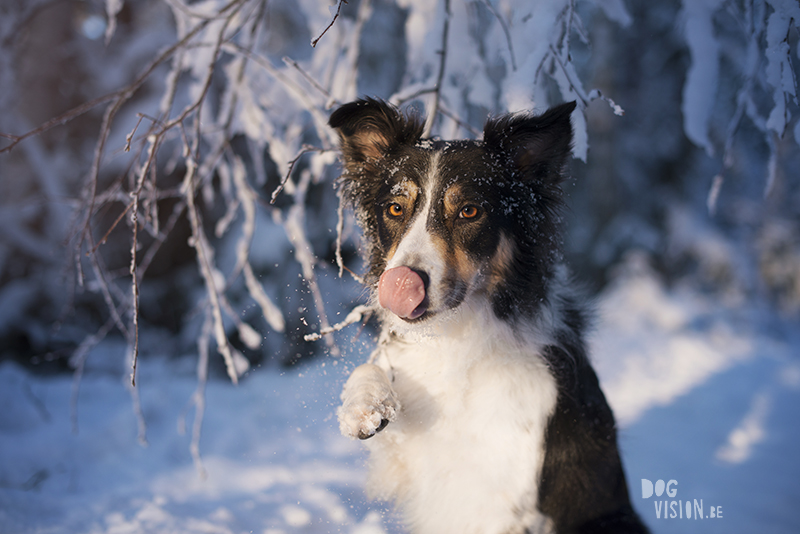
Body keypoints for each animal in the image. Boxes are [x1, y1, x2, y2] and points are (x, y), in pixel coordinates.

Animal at [328, 99, 648, 534]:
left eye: (469, 211)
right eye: (395, 208)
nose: (402, 282)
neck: (455, 336)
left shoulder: (504, 499)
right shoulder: (412, 459)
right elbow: (373, 367)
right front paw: (364, 406)